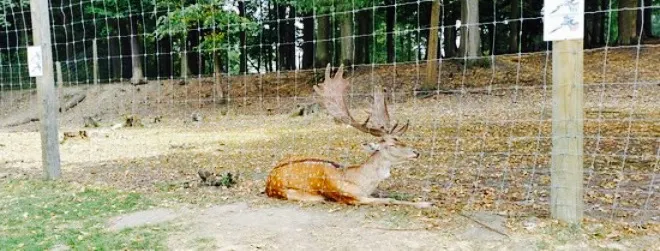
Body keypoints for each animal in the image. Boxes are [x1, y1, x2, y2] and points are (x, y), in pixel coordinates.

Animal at [262, 64, 434, 208]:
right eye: (391, 144)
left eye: (400, 139)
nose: (416, 152)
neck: (360, 183)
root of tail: (268, 180)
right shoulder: (351, 197)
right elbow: (389, 199)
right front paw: (425, 204)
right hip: (299, 194)